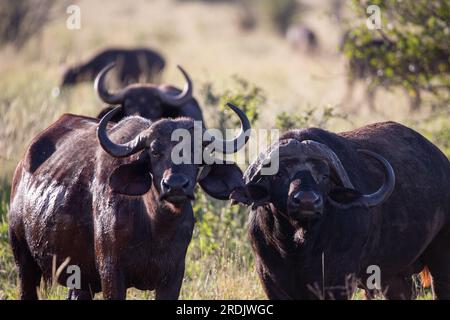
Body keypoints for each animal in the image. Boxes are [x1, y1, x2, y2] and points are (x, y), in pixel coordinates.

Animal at [8, 103, 248, 300]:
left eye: (197, 151)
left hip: (80, 278)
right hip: (23, 260)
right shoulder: (111, 273)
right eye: (154, 151)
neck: (156, 228)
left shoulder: (173, 277)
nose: (176, 185)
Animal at [232, 121, 450, 298]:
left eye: (324, 176)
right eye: (279, 174)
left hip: (440, 259)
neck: (298, 245)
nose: (307, 201)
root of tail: (442, 161)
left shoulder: (339, 280)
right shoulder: (270, 278)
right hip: (392, 276)